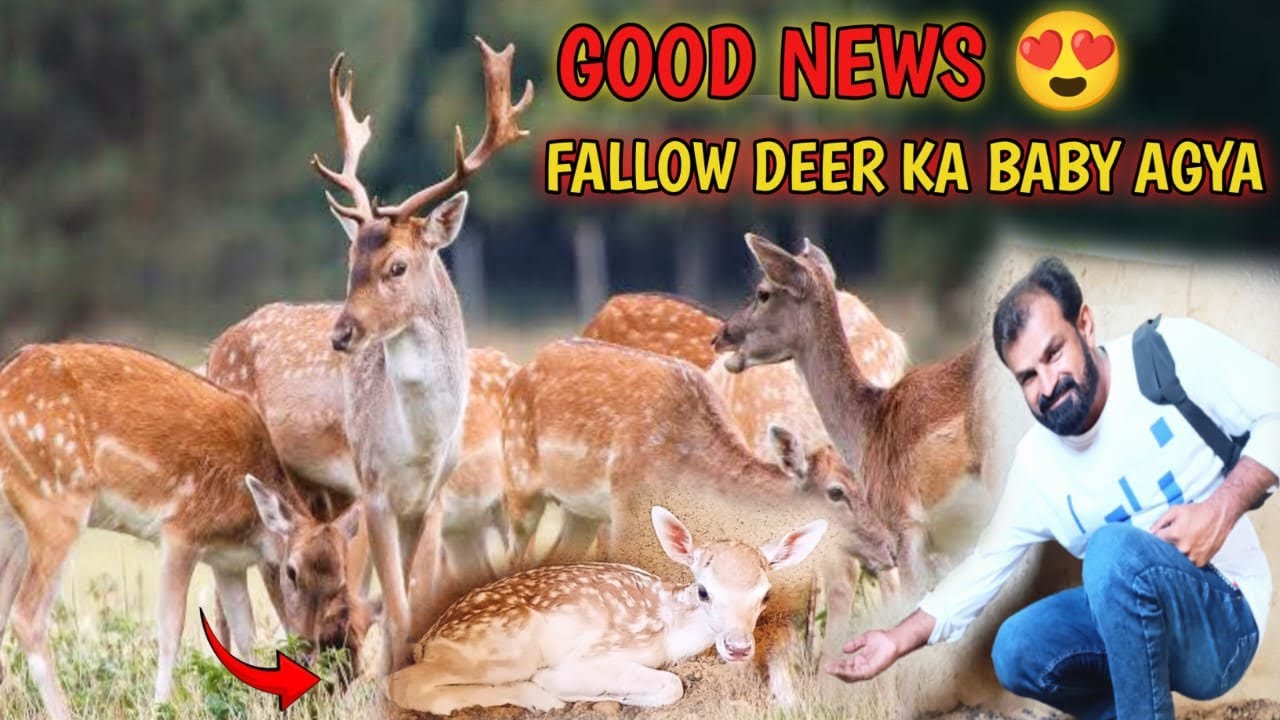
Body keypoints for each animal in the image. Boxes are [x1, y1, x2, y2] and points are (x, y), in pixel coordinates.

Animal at [0, 342, 360, 720]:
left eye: (340, 583)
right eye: (291, 572)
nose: (306, 647)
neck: (251, 527)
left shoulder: (228, 562)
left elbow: (246, 636)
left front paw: (256, 705)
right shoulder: (181, 530)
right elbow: (171, 628)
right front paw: (159, 707)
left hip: (15, 521)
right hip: (57, 504)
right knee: (28, 616)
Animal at [206, 37, 533, 671]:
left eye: (396, 266)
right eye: (350, 261)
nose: (340, 335)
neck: (419, 441)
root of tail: (216, 346)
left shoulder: (428, 501)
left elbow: (414, 602)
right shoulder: (374, 487)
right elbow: (399, 611)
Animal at [385, 505, 827, 715]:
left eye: (765, 594)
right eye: (704, 591)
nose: (738, 647)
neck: (669, 627)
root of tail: (428, 639)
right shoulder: (595, 652)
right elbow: (672, 684)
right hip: (504, 646)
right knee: (403, 684)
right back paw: (540, 696)